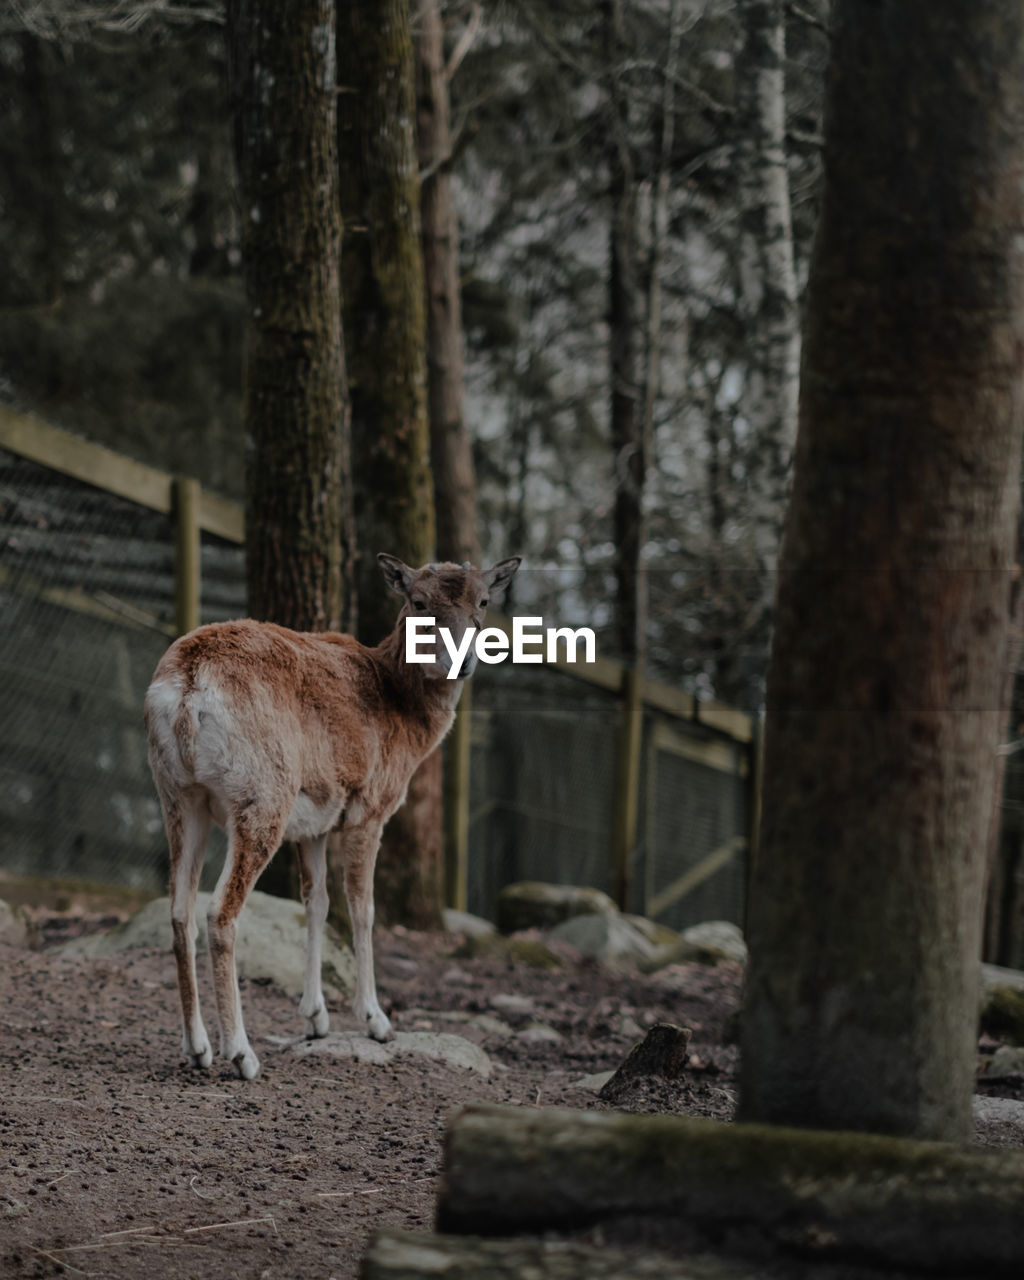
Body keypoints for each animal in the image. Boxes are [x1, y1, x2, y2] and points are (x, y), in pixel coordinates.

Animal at [144, 552, 519, 1080]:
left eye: (483, 601)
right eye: (418, 601)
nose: (461, 662)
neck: (404, 716)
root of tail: (186, 686)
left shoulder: (314, 824)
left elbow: (316, 903)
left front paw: (315, 1018)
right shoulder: (370, 809)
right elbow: (363, 907)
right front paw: (377, 1021)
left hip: (178, 795)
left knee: (179, 907)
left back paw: (197, 1047)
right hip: (263, 797)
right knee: (220, 910)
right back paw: (242, 1054)